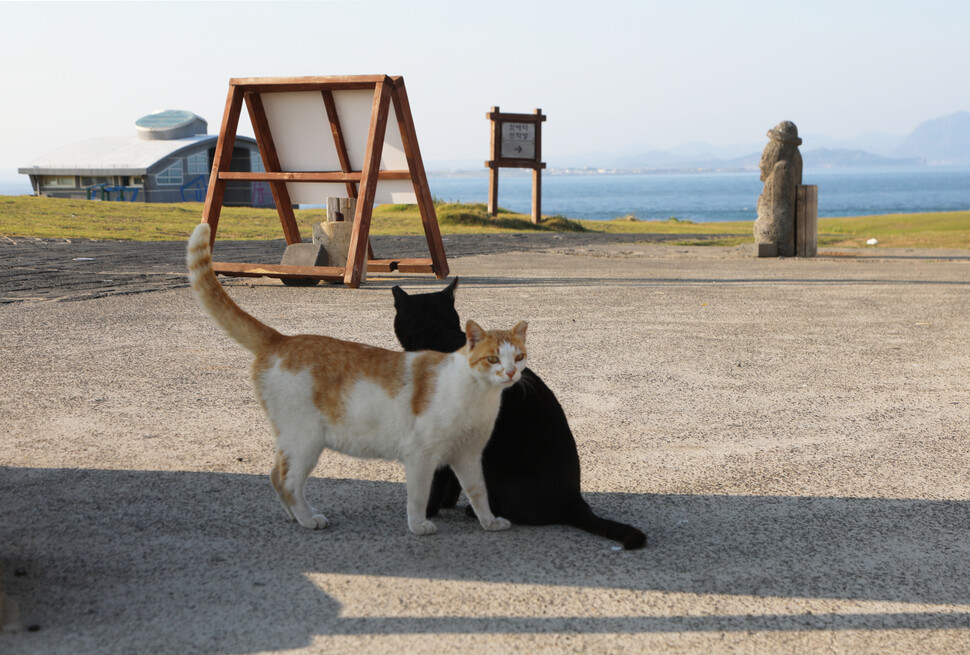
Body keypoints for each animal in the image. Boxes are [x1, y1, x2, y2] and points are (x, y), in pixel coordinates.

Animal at [185, 226, 524, 540]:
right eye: (493, 359)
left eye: (519, 357)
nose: (510, 373)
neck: (478, 395)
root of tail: (281, 339)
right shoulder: (421, 456)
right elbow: (419, 496)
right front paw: (418, 526)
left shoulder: (467, 457)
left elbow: (478, 493)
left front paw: (489, 522)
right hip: (306, 440)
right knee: (287, 481)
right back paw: (308, 519)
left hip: (293, 441)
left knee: (274, 475)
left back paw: (297, 516)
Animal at [390, 276, 648, 548]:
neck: (438, 333)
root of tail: (576, 502)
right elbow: (452, 478)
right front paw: (446, 504)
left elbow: (437, 481)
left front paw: (427, 513)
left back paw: (478, 512)